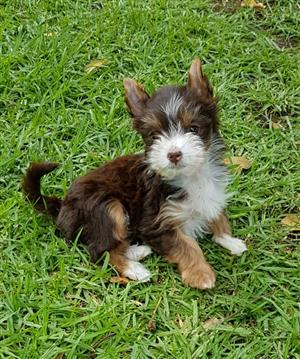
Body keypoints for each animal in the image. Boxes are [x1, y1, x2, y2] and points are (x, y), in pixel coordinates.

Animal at [23, 59, 247, 290]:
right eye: (155, 136)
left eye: (193, 128)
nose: (173, 154)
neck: (192, 176)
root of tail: (63, 206)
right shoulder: (155, 223)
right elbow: (186, 245)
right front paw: (200, 274)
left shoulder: (213, 195)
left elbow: (218, 215)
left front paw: (229, 239)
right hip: (108, 208)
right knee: (100, 251)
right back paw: (134, 269)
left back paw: (136, 251)